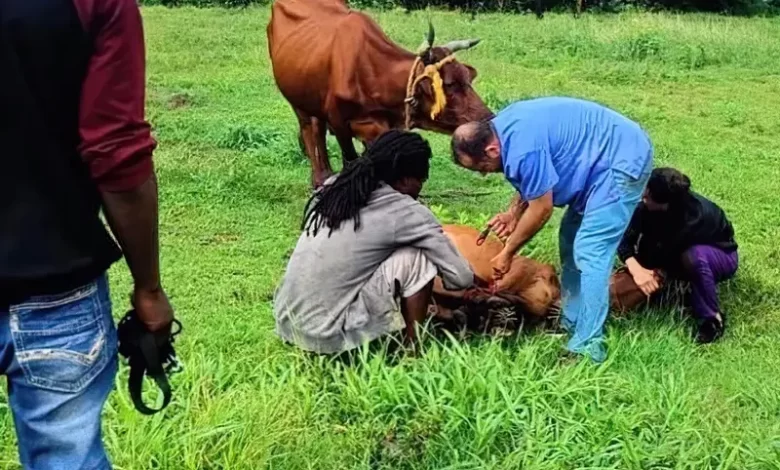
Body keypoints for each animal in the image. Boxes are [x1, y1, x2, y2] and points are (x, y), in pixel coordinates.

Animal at [266, 0, 490, 187]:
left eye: (468, 79)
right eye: (450, 84)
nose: (488, 117)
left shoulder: (382, 126)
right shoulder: (339, 122)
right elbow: (350, 161)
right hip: (297, 101)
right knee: (311, 131)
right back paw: (320, 179)